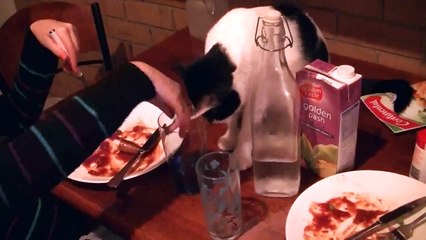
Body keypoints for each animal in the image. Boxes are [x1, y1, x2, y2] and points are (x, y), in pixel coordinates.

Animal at [179, 2, 412, 170]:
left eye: (212, 112)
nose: (207, 121)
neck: (227, 52)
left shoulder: (253, 97)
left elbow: (245, 129)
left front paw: (240, 155)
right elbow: (235, 119)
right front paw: (229, 138)